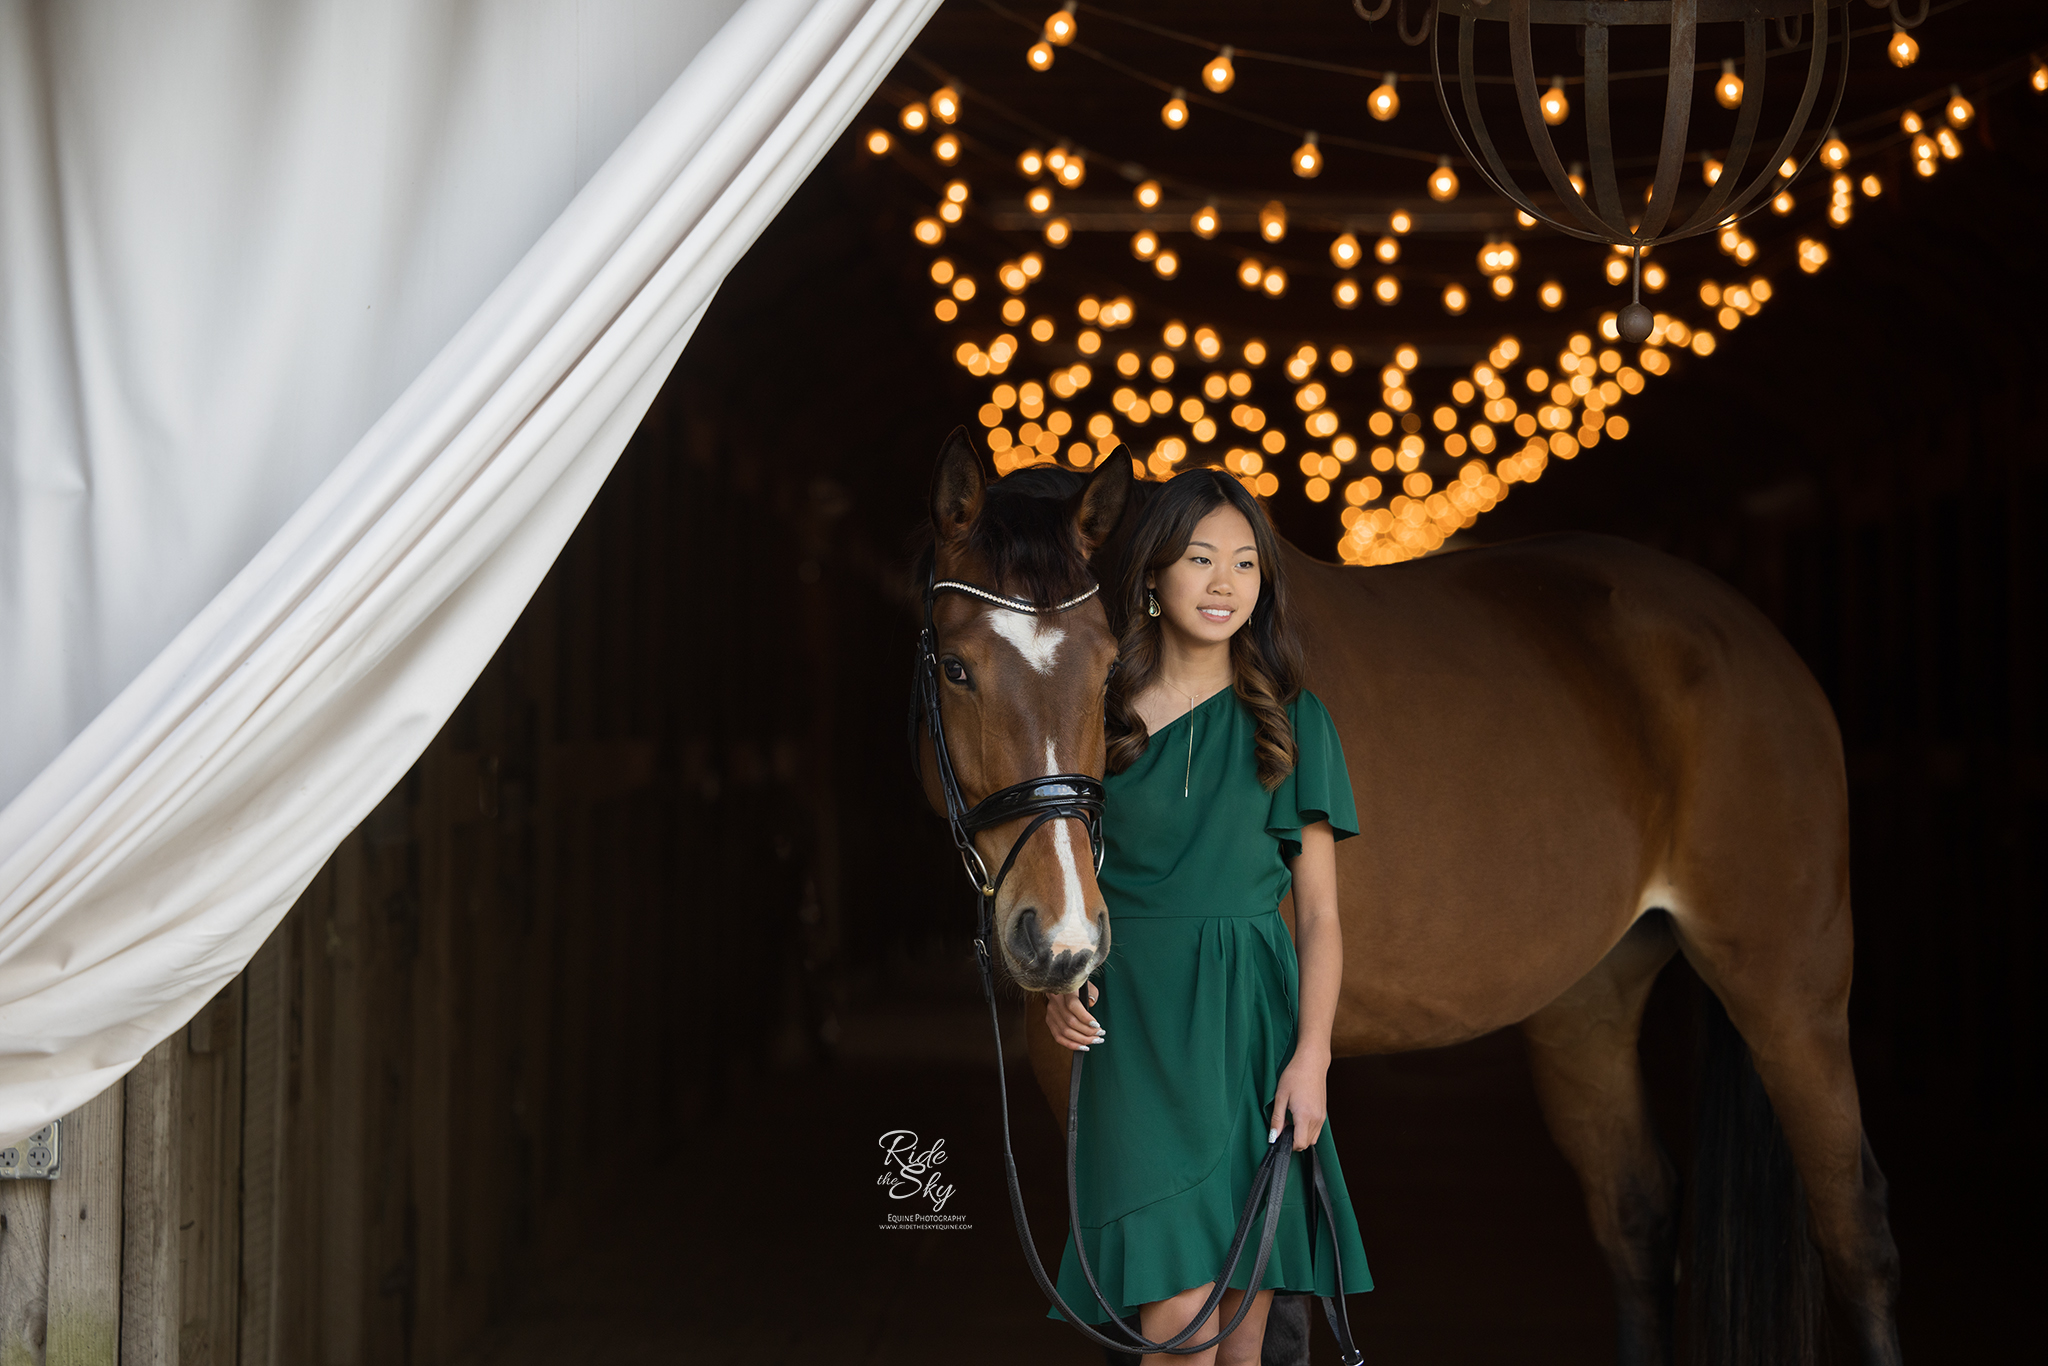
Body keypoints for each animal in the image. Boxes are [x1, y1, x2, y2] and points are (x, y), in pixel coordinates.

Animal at [917, 432, 1900, 1366]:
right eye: (957, 669)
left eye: (1105, 668)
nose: (1062, 938)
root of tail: (1750, 633)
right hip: (1588, 1005)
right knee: (1640, 1219)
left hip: (1790, 996)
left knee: (1855, 1230)